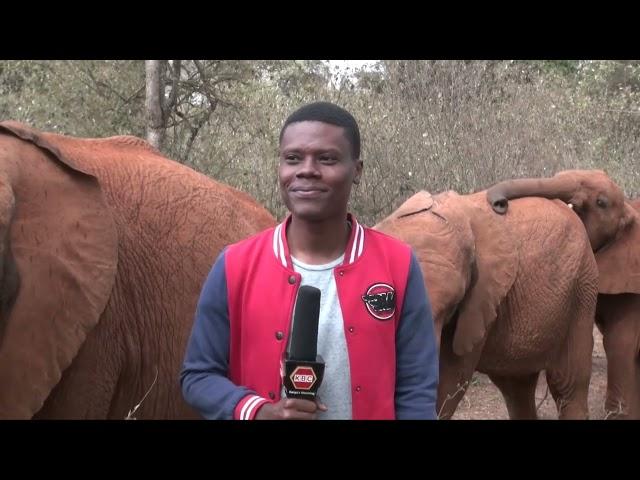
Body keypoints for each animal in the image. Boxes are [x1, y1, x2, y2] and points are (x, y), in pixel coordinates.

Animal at [376, 189, 600, 418]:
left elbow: (451, 376)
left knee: (568, 384)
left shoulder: (479, 300)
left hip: (582, 290)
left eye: (453, 304)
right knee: (517, 387)